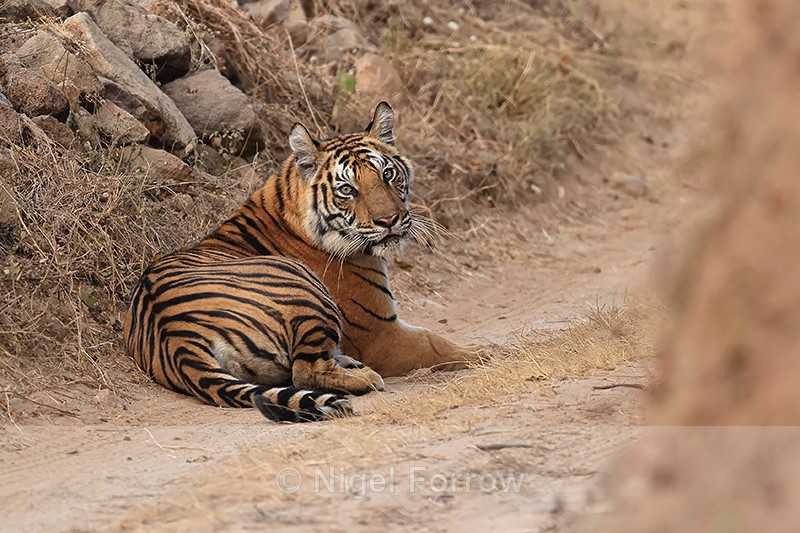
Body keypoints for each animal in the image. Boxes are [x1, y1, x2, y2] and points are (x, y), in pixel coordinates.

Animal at [123, 102, 479, 422]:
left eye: (388, 174)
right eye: (347, 189)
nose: (389, 220)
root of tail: (176, 338)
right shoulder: (381, 333)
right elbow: (435, 343)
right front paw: (486, 353)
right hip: (304, 287)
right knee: (306, 371)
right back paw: (364, 377)